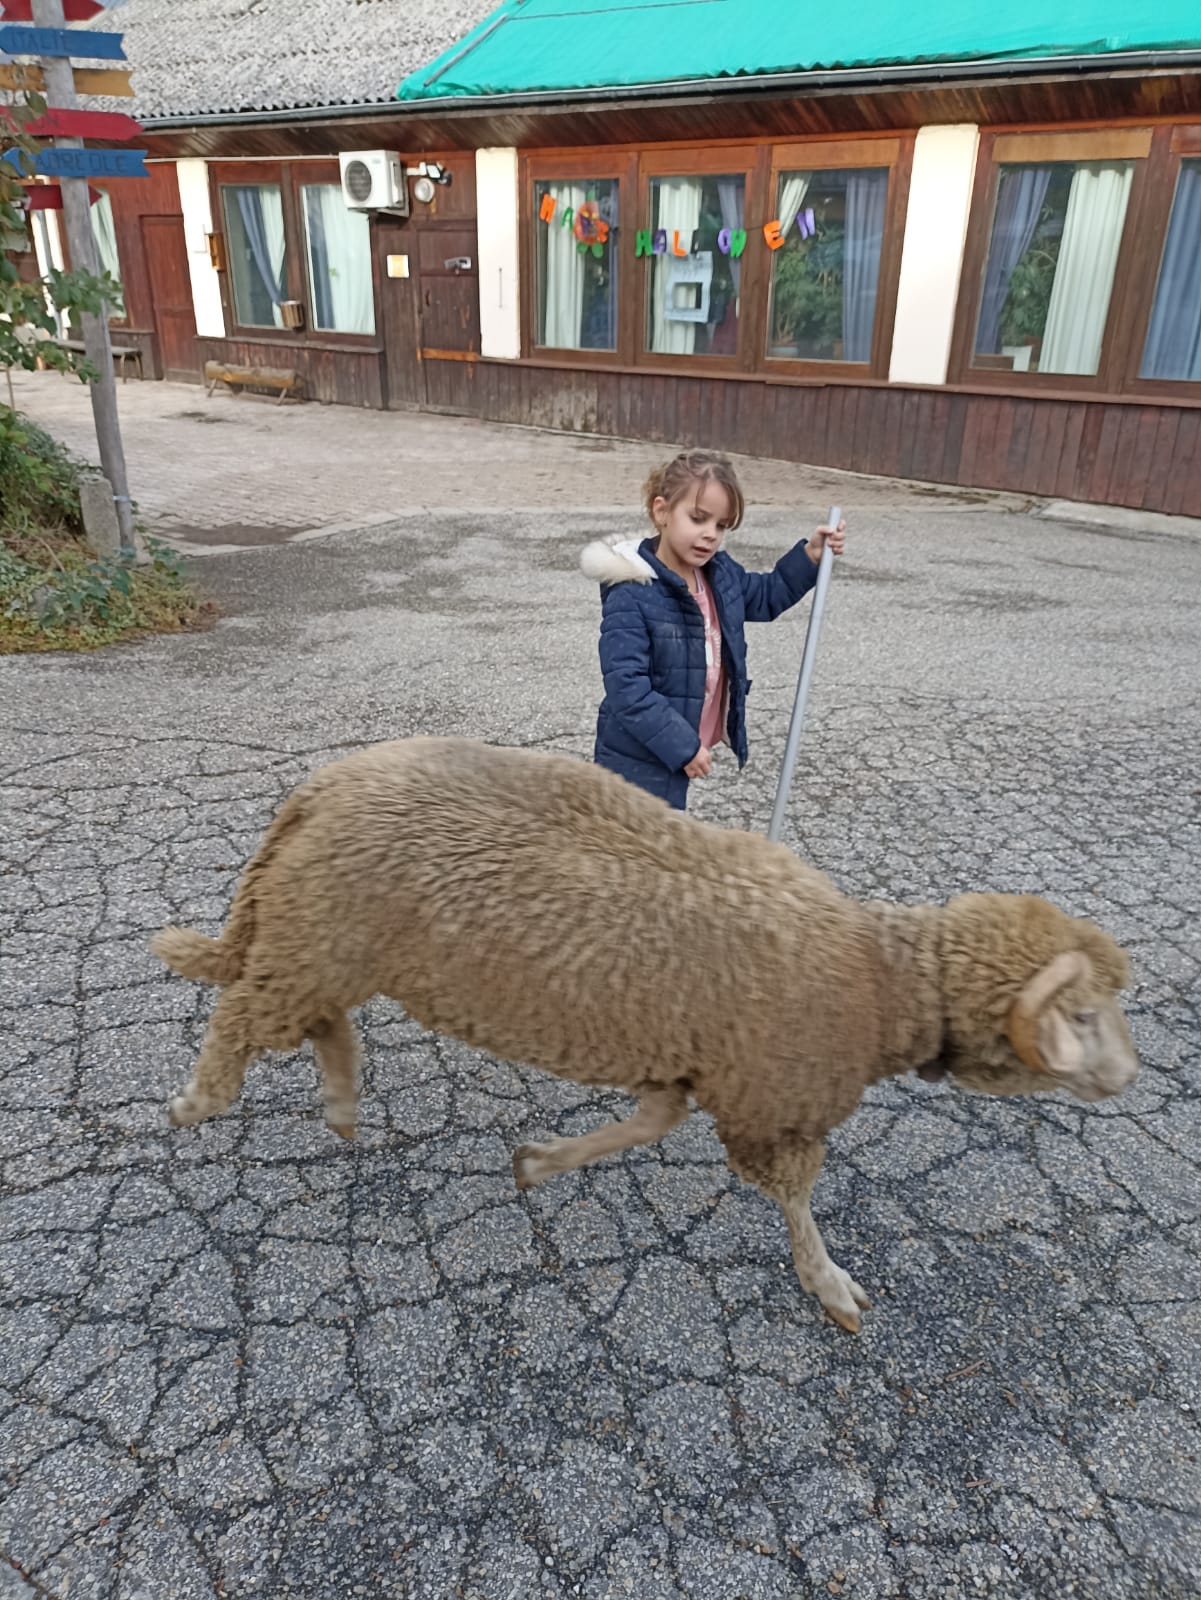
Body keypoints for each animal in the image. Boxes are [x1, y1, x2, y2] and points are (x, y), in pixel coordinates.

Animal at [152, 742, 1138, 1331]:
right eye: (1081, 1016)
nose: (1129, 1077)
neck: (880, 980)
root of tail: (320, 789)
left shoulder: (689, 1062)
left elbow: (649, 1123)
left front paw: (539, 1164)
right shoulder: (768, 1107)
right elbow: (792, 1200)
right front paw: (830, 1285)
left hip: (325, 943)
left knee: (313, 1020)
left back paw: (342, 1105)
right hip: (317, 936)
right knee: (243, 1013)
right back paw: (199, 1100)